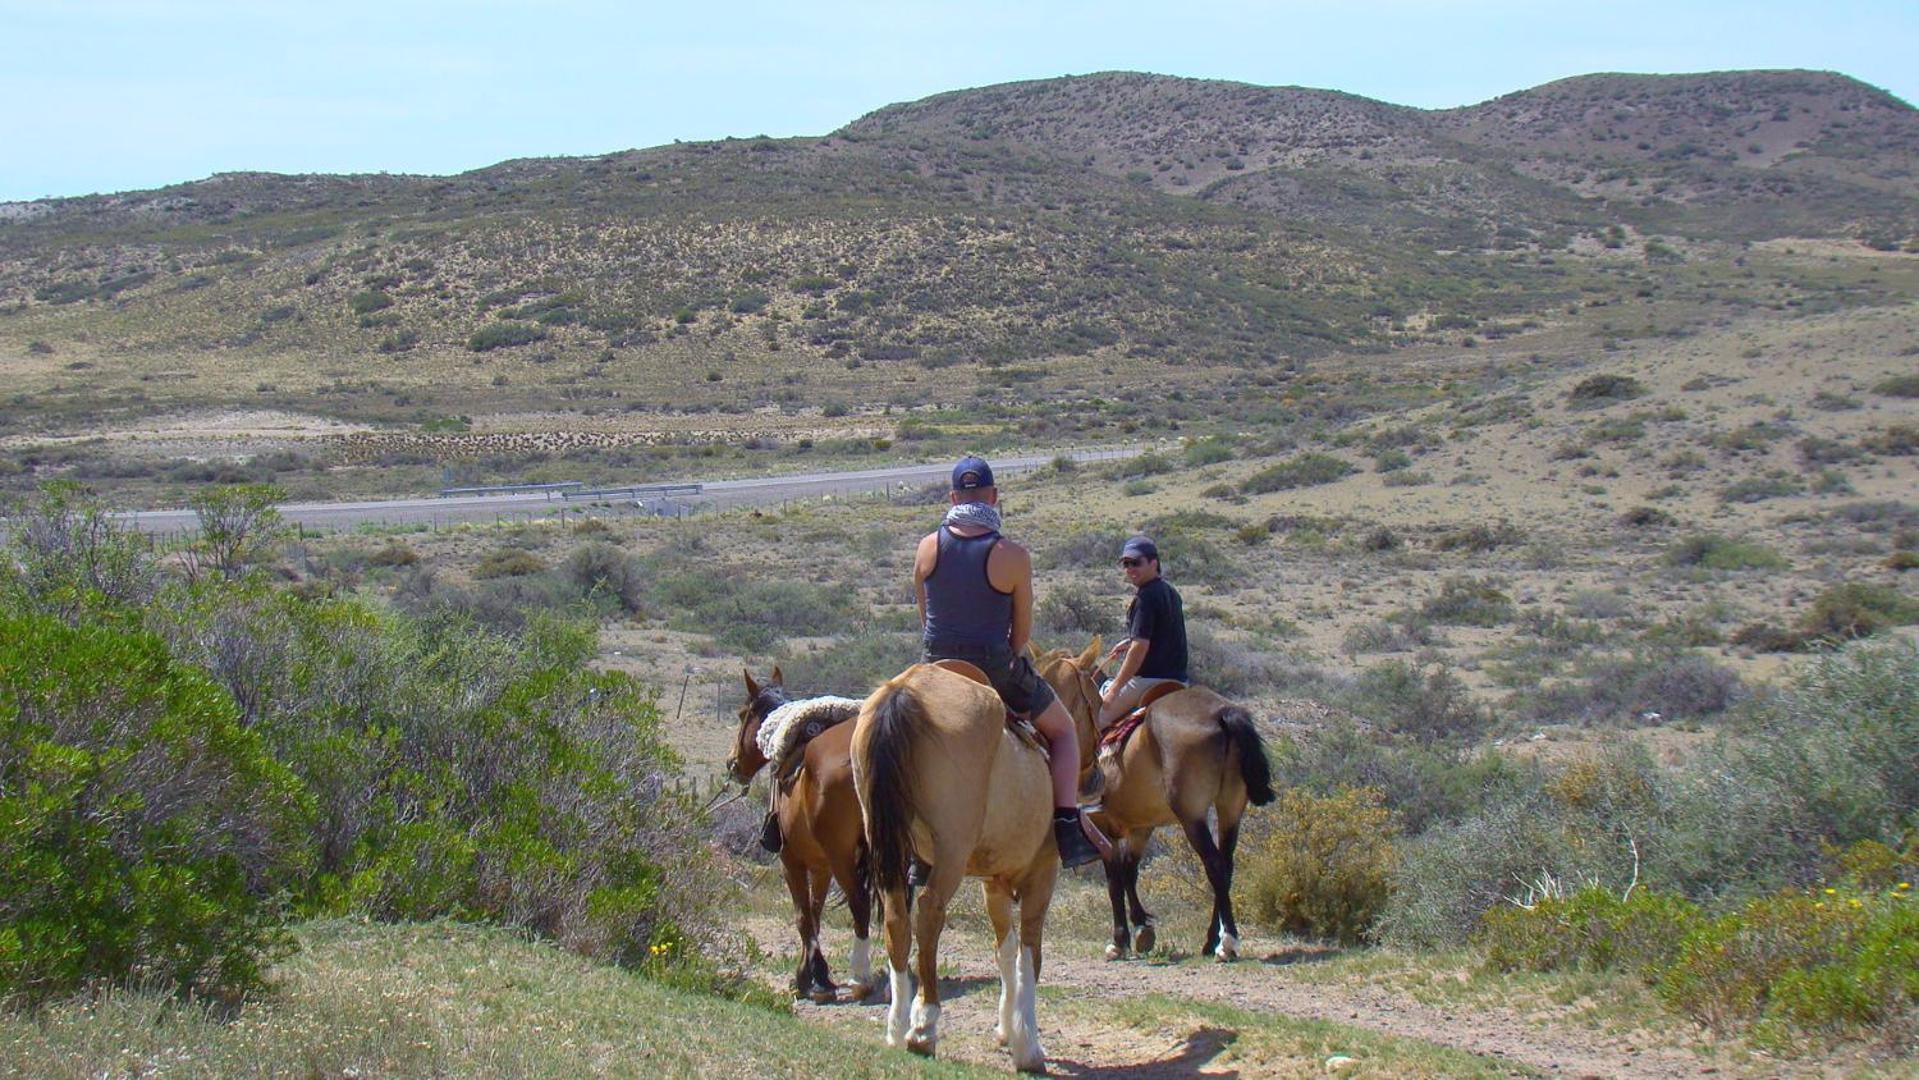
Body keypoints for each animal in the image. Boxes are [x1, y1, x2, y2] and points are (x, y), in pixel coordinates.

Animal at [725, 667, 878, 1005]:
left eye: (742, 714)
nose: (732, 763)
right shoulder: (821, 865)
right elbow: (816, 912)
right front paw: (816, 974)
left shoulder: (792, 861)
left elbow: (803, 915)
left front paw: (810, 979)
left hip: (842, 857)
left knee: (860, 904)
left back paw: (861, 979)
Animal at [859, 659, 1066, 1074]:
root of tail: (905, 691)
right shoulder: (1042, 874)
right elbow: (1030, 953)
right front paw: (1028, 1045)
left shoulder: (994, 883)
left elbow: (1005, 949)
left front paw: (1007, 1029)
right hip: (951, 852)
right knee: (929, 913)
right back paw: (924, 1025)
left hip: (887, 846)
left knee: (896, 919)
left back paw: (897, 1027)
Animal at [1036, 636, 1274, 959]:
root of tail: (1221, 713)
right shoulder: (1141, 826)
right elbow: (1130, 870)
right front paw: (1141, 928)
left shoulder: (1101, 824)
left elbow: (1114, 877)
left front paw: (1119, 940)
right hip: (1231, 807)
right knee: (1226, 864)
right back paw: (1210, 940)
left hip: (1192, 815)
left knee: (1214, 864)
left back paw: (1227, 942)